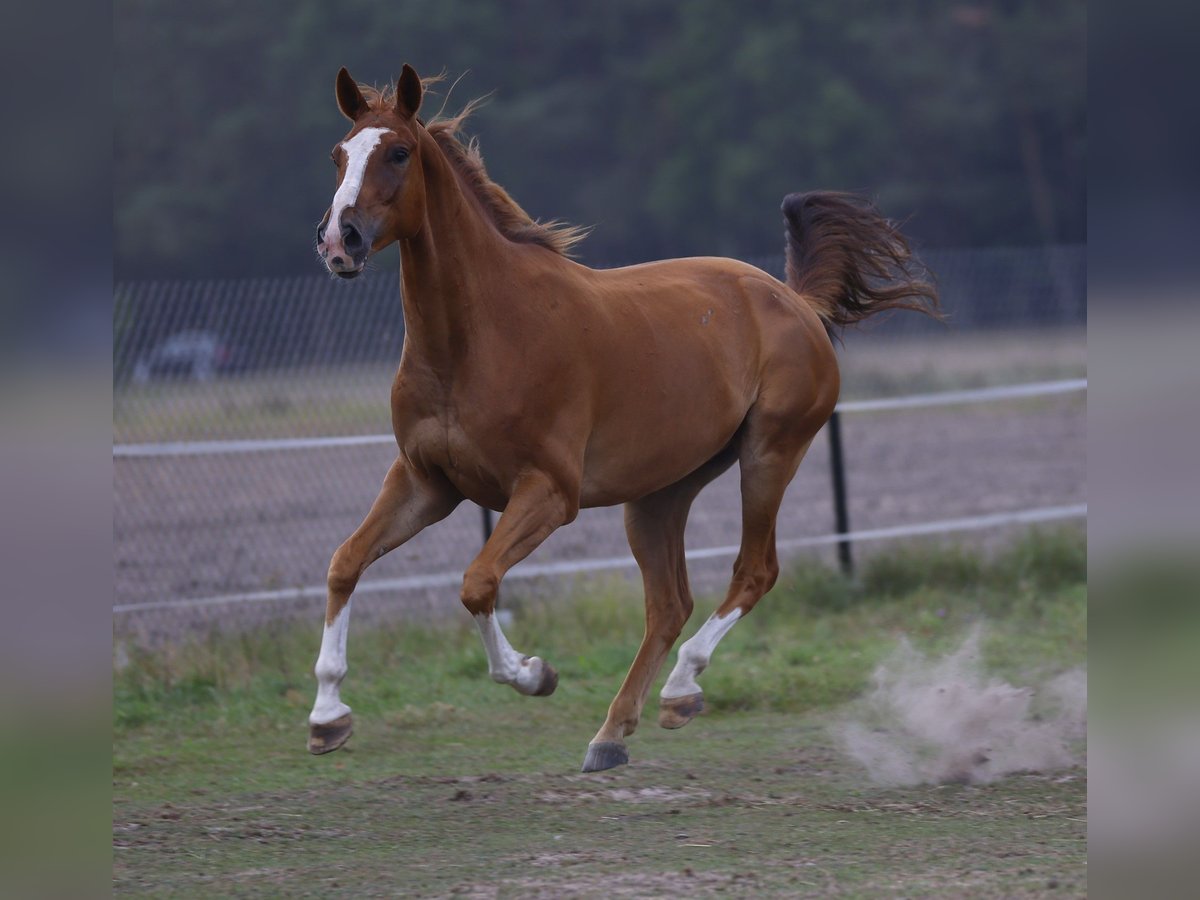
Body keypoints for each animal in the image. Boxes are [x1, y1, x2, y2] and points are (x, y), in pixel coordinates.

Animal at [307, 65, 936, 777]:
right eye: (338, 154)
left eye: (398, 152)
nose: (339, 241)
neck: (477, 337)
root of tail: (795, 301)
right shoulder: (425, 482)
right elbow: (345, 563)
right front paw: (327, 717)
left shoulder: (549, 493)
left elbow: (477, 583)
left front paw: (535, 673)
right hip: (660, 494)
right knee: (668, 604)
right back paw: (613, 732)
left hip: (769, 455)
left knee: (753, 571)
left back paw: (681, 689)